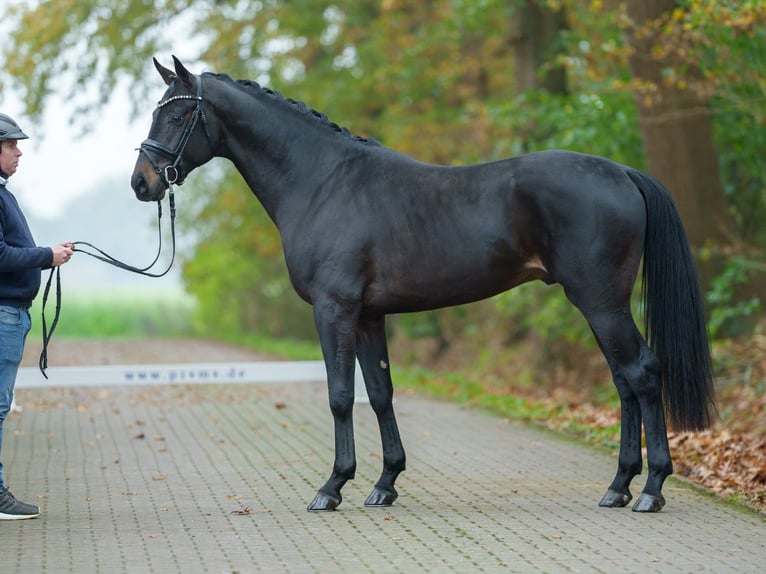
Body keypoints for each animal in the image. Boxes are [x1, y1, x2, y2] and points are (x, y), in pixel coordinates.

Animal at [134, 56, 720, 516]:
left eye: (180, 112)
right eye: (159, 109)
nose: (142, 182)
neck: (321, 181)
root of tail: (623, 173)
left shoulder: (334, 310)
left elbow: (340, 396)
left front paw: (332, 487)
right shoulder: (369, 316)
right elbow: (380, 393)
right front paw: (384, 484)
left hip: (600, 302)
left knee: (641, 373)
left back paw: (650, 489)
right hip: (601, 306)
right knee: (624, 381)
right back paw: (618, 487)